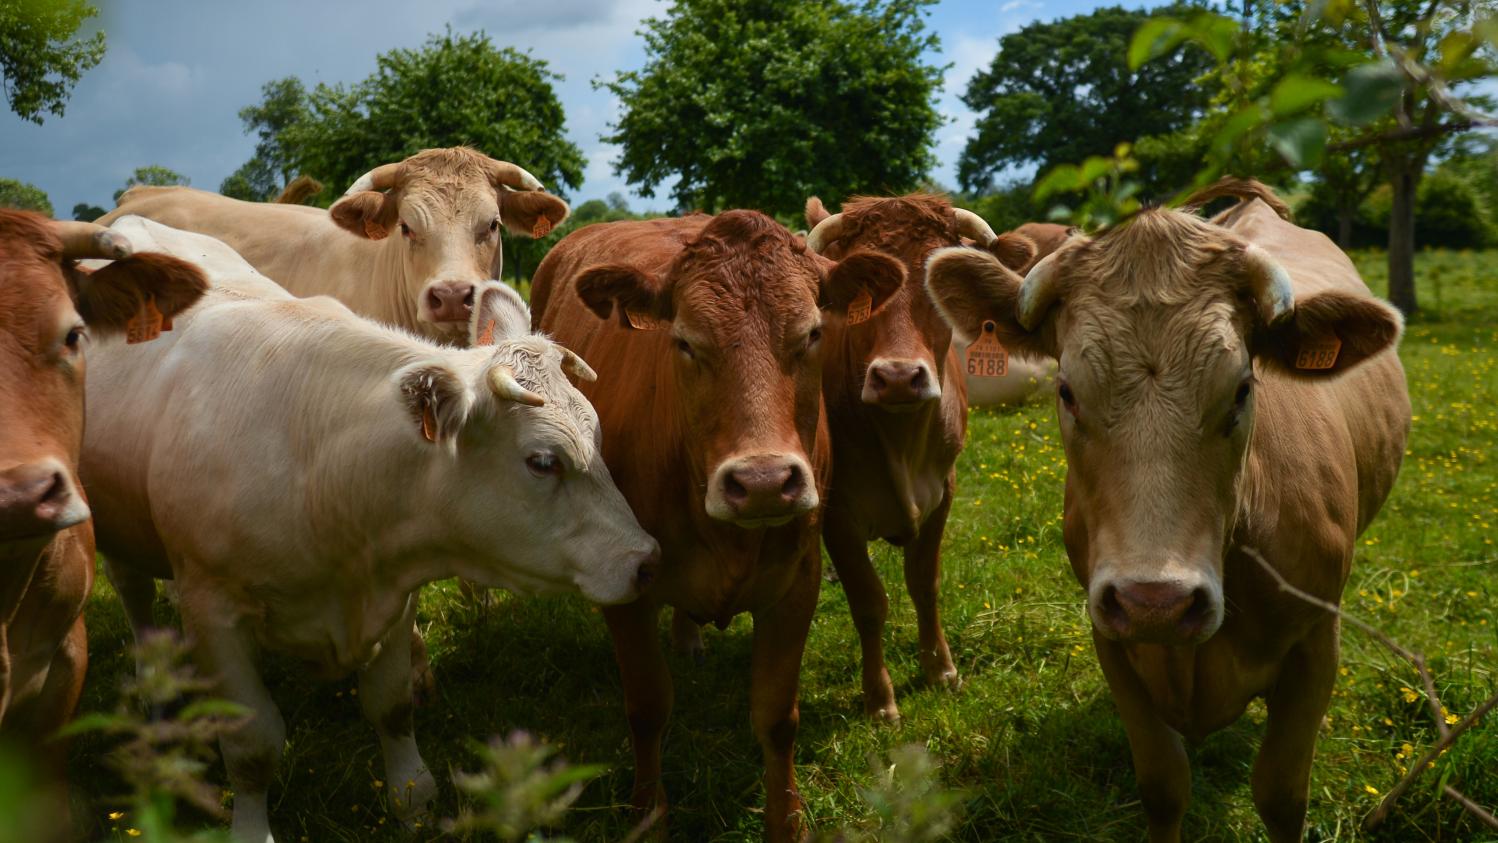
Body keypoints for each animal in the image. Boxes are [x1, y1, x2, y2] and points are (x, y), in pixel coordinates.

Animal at [80, 217, 659, 843]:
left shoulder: (395, 586)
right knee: (135, 596)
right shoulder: (211, 607)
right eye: (543, 461)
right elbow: (253, 745)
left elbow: (391, 704)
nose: (646, 559)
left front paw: (413, 800)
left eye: (597, 434)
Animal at [529, 211, 907, 841]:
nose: (763, 481)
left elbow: (776, 715)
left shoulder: (798, 581)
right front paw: (647, 815)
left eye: (812, 334)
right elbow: (647, 707)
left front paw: (787, 821)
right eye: (684, 341)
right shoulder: (624, 587)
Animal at [796, 193, 1035, 721]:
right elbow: (869, 602)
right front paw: (879, 698)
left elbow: (925, 584)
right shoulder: (836, 512)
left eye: (936, 286)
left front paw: (941, 670)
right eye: (864, 291)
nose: (899, 378)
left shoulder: (943, 492)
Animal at [924, 179, 1410, 842]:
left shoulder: (1317, 641)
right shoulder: (1112, 638)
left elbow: (1282, 793)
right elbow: (1162, 785)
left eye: (1243, 389)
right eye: (1066, 391)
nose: (1155, 602)